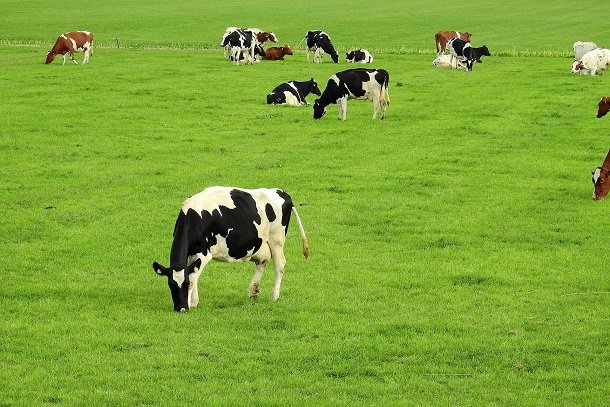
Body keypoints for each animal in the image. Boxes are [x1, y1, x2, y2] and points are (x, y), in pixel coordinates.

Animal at [152, 186, 308, 314]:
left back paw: (274, 296)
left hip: (277, 239)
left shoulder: (204, 253)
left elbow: (193, 277)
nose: (181, 309)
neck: (194, 216)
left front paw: (192, 303)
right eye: (170, 284)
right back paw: (253, 292)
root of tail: (281, 191)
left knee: (279, 265)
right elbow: (192, 274)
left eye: (185, 284)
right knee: (262, 264)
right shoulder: (192, 254)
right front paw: (194, 302)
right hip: (261, 244)